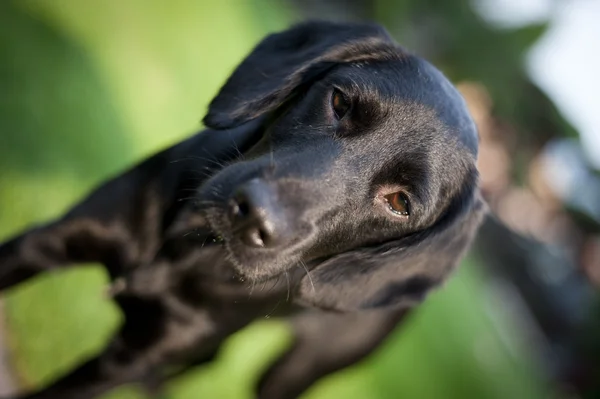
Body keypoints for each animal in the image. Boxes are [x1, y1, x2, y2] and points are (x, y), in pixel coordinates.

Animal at [0, 21, 486, 399]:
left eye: (400, 203)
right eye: (339, 101)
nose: (254, 216)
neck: (184, 251)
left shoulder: (127, 360)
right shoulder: (42, 244)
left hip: (291, 372)